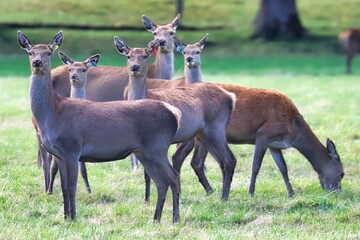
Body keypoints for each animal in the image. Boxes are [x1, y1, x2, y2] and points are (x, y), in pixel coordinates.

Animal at [46, 51, 102, 194]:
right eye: (70, 69)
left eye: (83, 69)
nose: (74, 76)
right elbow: (54, 168)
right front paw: (50, 191)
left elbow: (83, 169)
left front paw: (89, 190)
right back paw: (48, 187)